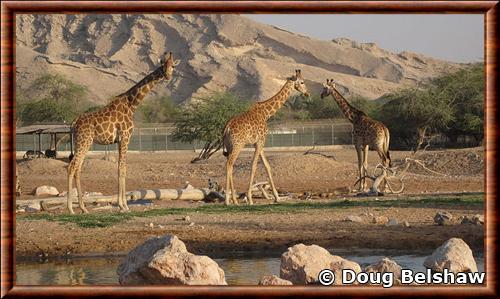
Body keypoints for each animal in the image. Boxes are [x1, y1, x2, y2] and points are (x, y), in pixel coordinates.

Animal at [66, 52, 180, 214]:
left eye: (173, 66)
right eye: (163, 65)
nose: (168, 76)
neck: (132, 105)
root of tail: (74, 122)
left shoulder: (120, 140)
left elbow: (121, 168)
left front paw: (123, 205)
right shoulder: (125, 137)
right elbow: (122, 168)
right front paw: (123, 206)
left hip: (81, 142)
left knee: (78, 167)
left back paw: (83, 208)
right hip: (84, 141)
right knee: (72, 166)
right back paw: (71, 208)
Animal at [222, 70, 308, 206]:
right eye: (302, 82)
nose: (307, 93)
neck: (265, 113)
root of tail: (227, 127)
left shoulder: (259, 142)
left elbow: (267, 166)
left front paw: (277, 197)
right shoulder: (260, 141)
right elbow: (254, 166)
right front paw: (250, 199)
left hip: (230, 146)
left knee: (229, 164)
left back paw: (234, 200)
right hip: (238, 145)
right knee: (229, 163)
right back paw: (227, 200)